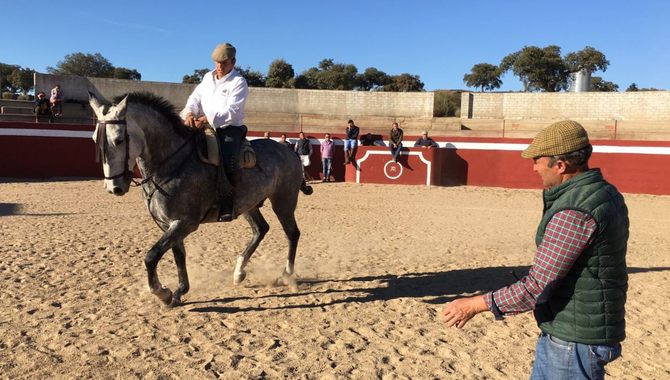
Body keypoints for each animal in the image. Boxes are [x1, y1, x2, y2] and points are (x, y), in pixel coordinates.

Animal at [88, 93, 316, 308]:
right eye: (94, 140)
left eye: (119, 140)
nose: (113, 187)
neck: (172, 164)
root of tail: (288, 151)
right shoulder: (168, 224)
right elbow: (178, 255)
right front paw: (179, 292)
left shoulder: (185, 223)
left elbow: (151, 256)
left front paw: (163, 293)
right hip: (249, 205)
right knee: (261, 229)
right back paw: (238, 273)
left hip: (283, 201)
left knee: (292, 233)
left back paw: (285, 275)